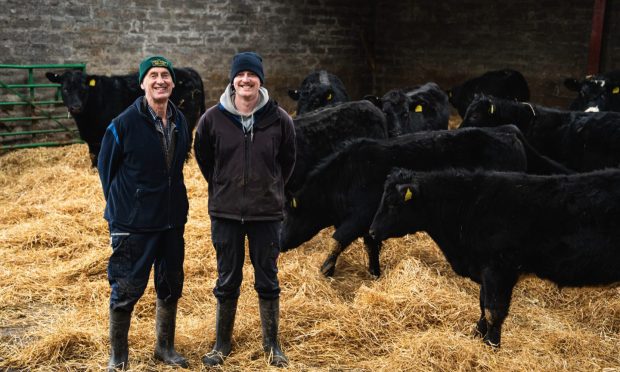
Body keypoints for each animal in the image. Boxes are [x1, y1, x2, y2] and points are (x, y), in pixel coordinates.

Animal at [47, 68, 206, 166]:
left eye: (83, 89)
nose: (76, 107)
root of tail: (188, 70)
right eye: (65, 89)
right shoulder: (92, 138)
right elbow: (93, 155)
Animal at [278, 125, 568, 276]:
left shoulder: (359, 217)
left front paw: (325, 269)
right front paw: (374, 271)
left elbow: (339, 239)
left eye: (287, 218)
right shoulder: (372, 221)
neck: (345, 176)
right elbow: (371, 244)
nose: (279, 245)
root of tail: (508, 130)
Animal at [370, 167, 620, 348]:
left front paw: (492, 346)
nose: (372, 231)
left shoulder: (498, 270)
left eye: (393, 203)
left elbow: (493, 311)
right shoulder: (485, 271)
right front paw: (477, 337)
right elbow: (482, 306)